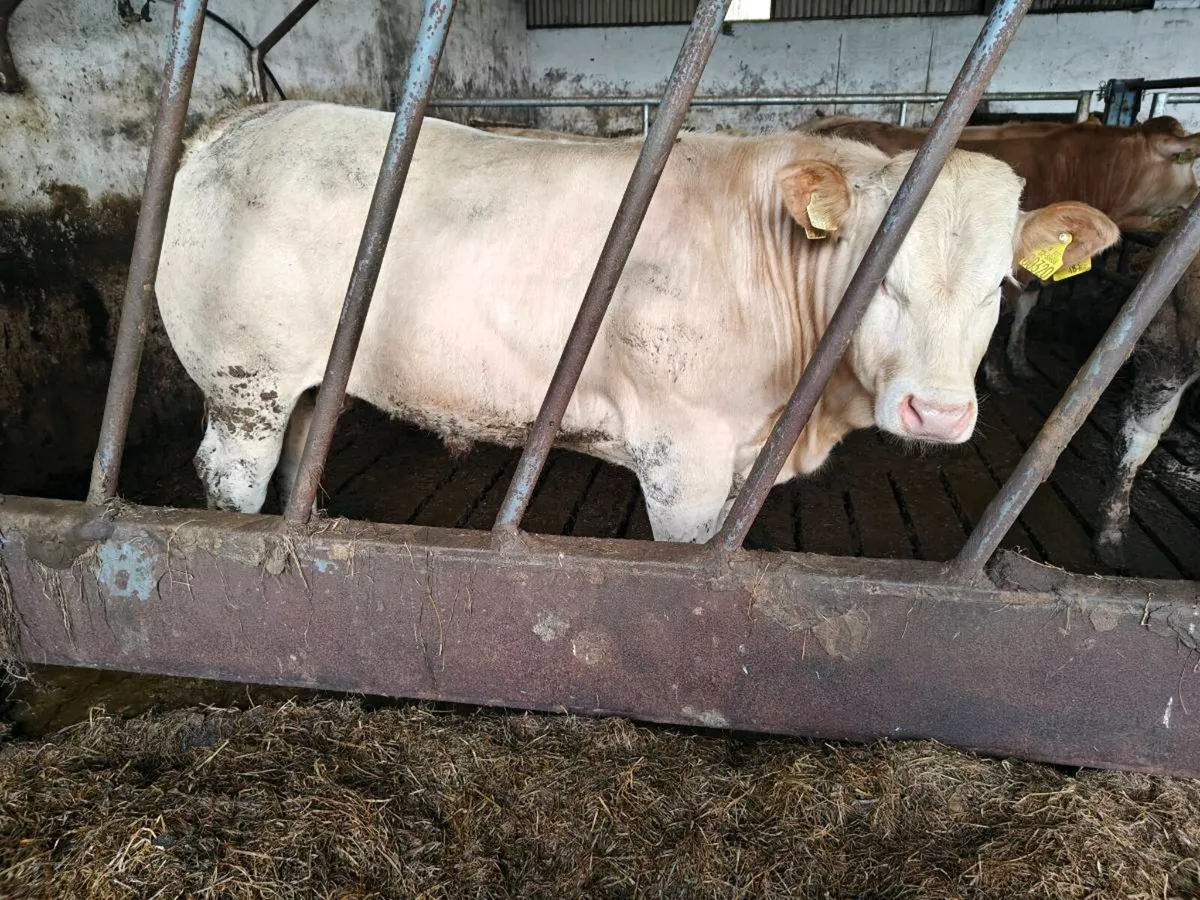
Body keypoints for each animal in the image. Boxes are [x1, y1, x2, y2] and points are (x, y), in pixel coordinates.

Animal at [156, 101, 1118, 543]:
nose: (939, 412)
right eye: (879, 280)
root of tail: (240, 121)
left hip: (307, 381)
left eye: (1001, 283)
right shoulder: (678, 454)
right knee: (232, 474)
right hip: (245, 381)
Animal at [803, 115, 1200, 390]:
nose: (1195, 194)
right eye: (1188, 163)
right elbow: (1003, 318)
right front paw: (996, 375)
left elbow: (1025, 311)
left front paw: (1019, 362)